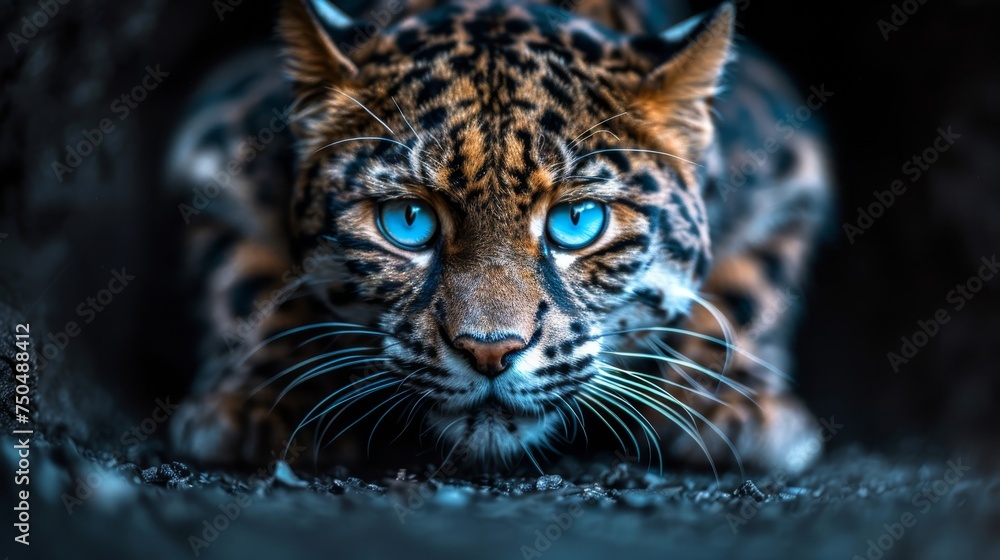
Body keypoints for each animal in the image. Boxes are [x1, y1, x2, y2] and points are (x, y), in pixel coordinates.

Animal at [166, 0, 833, 475]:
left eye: (577, 221)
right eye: (408, 221)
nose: (490, 352)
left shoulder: (792, 169)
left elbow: (745, 290)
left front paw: (739, 406)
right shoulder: (210, 154)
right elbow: (252, 284)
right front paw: (258, 401)